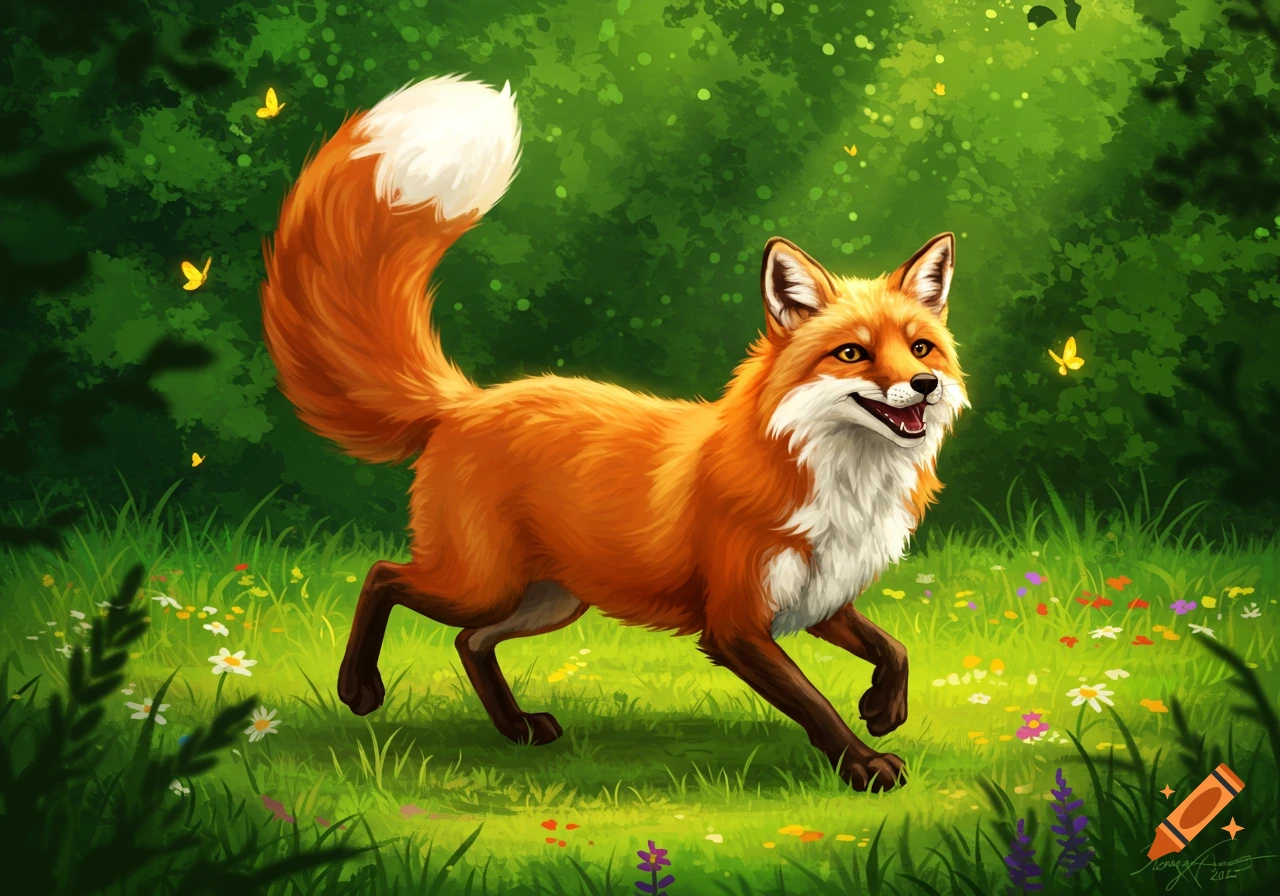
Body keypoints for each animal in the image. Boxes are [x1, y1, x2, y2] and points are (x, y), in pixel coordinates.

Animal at [260, 75, 968, 792]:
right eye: (853, 353)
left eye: (920, 348)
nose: (924, 386)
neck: (835, 477)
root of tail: (466, 402)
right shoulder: (736, 626)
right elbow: (815, 702)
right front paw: (865, 763)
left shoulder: (817, 598)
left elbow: (894, 648)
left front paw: (884, 709)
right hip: (480, 584)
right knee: (383, 577)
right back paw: (359, 689)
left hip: (549, 599)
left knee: (469, 641)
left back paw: (516, 728)